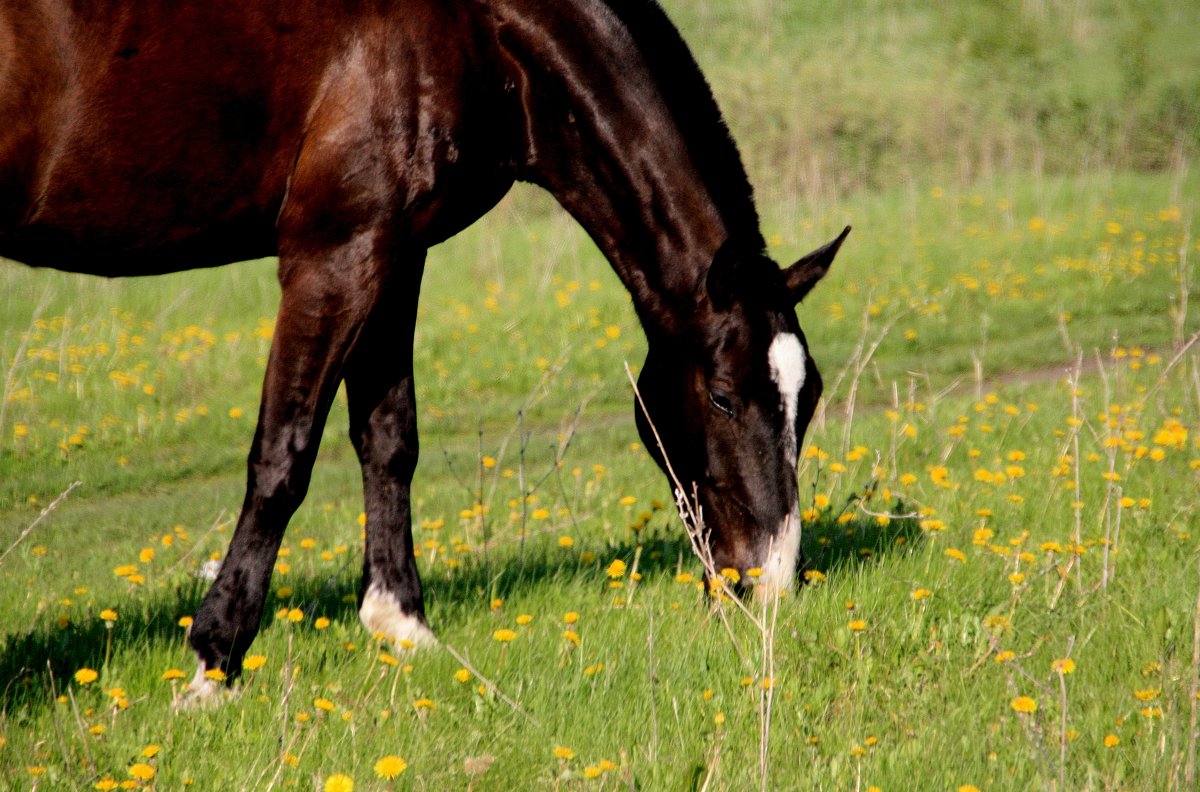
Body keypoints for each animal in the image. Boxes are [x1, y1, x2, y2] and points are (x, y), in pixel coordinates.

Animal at [2, 0, 844, 700]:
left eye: (809, 397)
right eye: (723, 395)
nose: (770, 582)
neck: (474, 29)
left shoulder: (392, 252)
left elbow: (388, 438)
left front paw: (400, 622)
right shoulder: (332, 256)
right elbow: (284, 456)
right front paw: (215, 663)